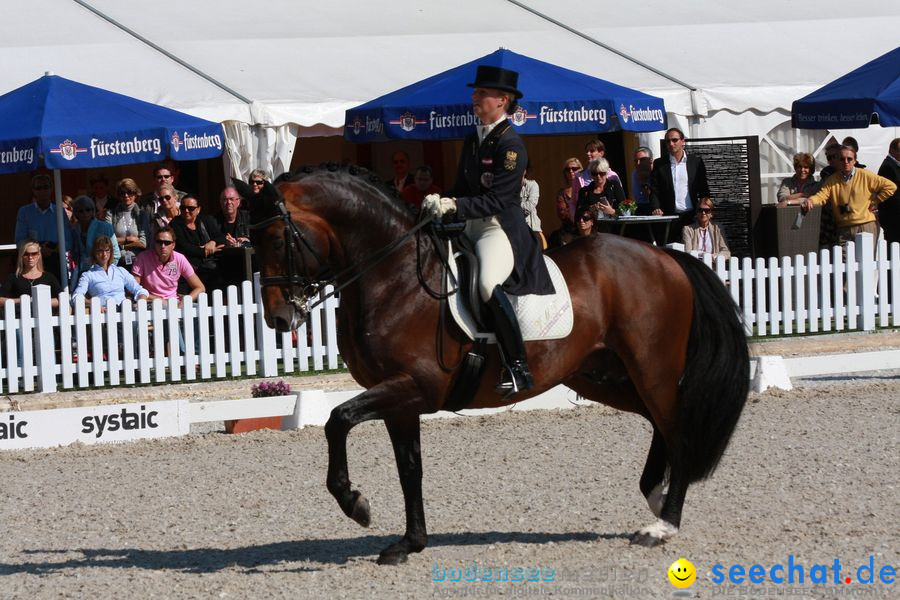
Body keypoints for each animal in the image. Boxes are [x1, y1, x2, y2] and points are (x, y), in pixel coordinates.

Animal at [241, 165, 752, 568]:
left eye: (277, 238)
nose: (279, 319)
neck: (394, 275)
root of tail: (664, 255)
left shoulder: (414, 386)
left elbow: (337, 419)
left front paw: (356, 504)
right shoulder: (400, 400)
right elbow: (410, 468)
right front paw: (410, 543)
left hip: (652, 369)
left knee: (677, 428)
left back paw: (664, 525)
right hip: (602, 376)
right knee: (659, 423)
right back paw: (655, 497)